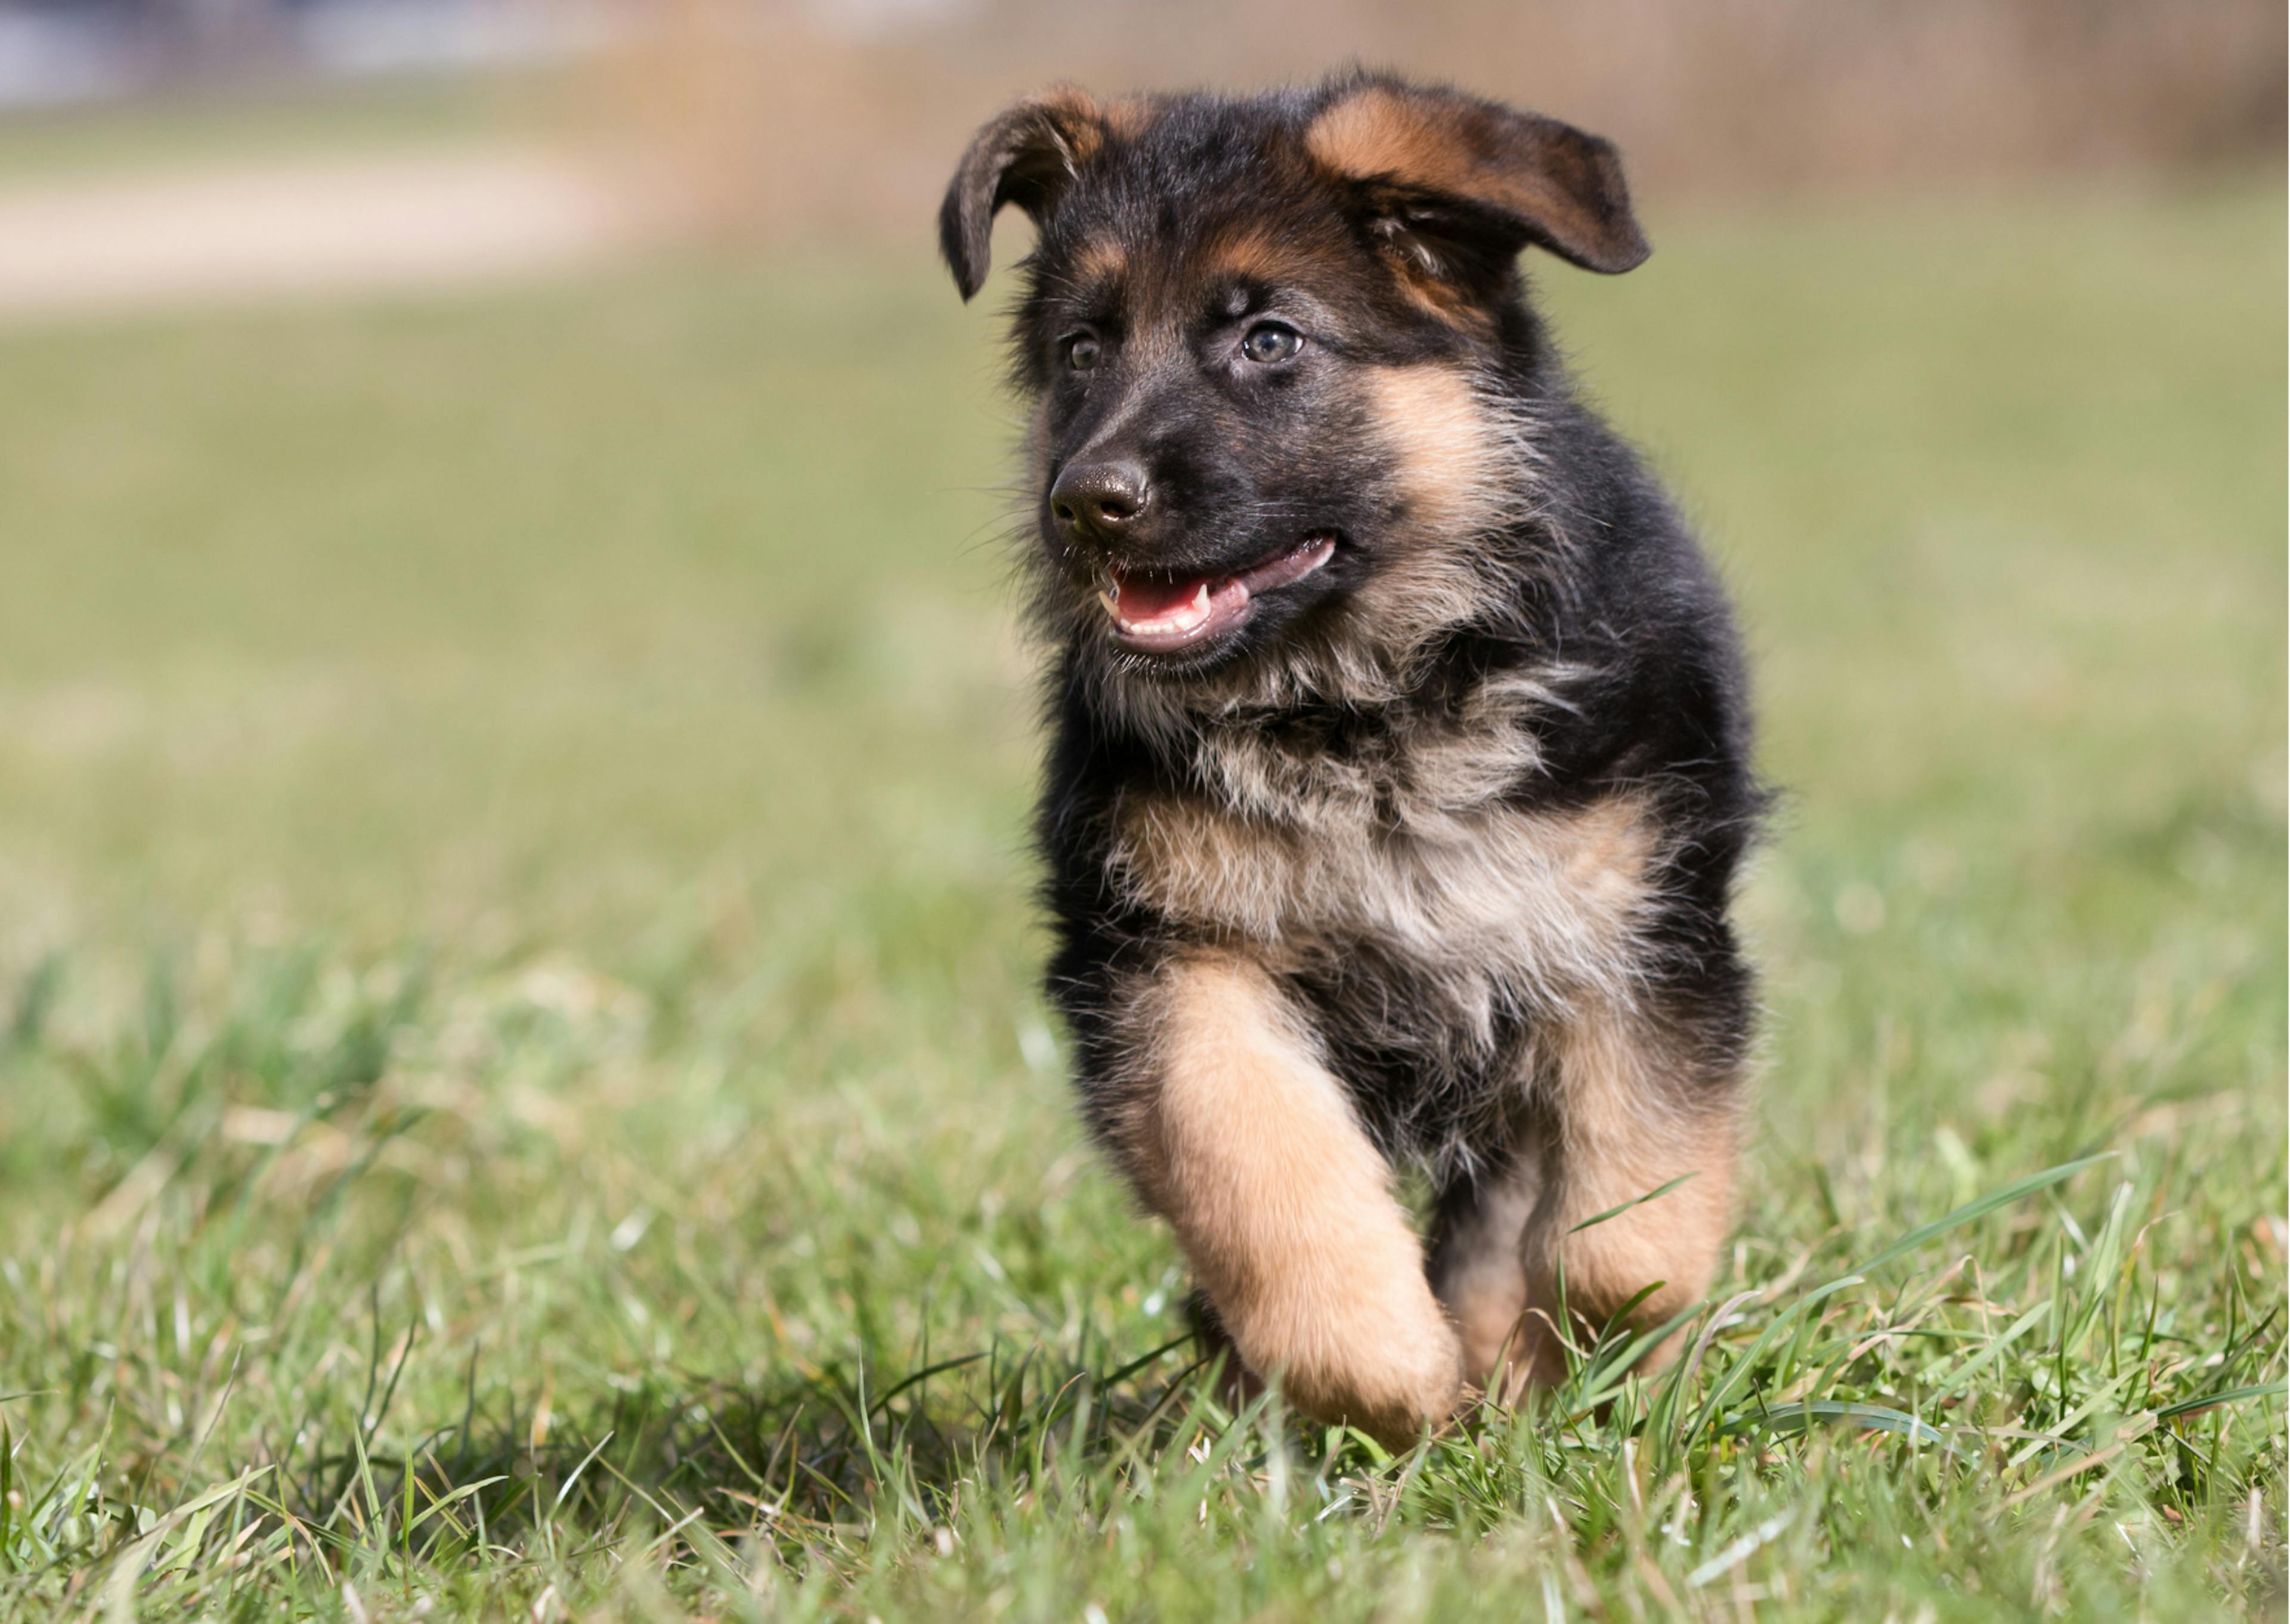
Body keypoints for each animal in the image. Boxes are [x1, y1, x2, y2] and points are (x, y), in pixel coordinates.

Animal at [939, 72, 1759, 1448]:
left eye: (1270, 340)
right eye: (1082, 352)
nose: (1086, 503)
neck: (1360, 713)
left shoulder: (1639, 941)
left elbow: (1627, 1245)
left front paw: (1550, 1376)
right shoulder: (1175, 964)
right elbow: (1265, 1175)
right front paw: (1391, 1376)